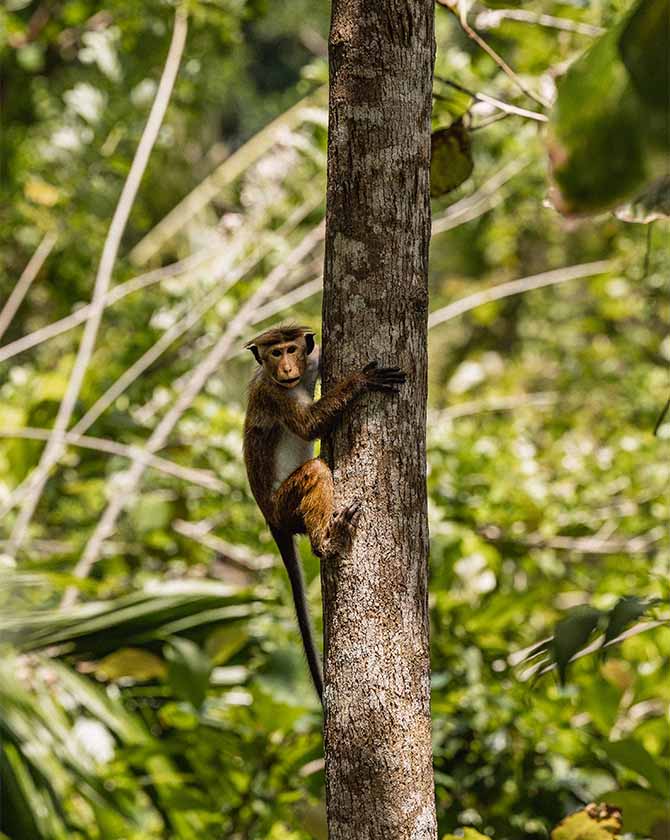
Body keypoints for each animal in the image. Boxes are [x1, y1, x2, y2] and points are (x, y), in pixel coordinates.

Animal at [244, 324, 406, 700]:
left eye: (290, 349)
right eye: (275, 353)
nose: (287, 368)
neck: (288, 383)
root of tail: (269, 518)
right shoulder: (274, 395)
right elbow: (308, 426)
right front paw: (360, 380)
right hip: (284, 506)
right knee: (317, 470)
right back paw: (326, 542)